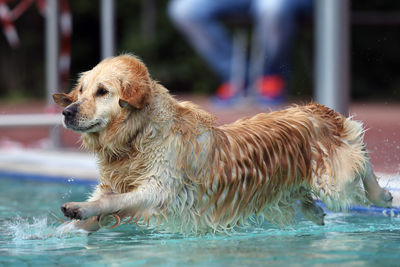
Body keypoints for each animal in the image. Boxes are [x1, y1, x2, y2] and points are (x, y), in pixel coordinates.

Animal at [51, 54, 392, 234]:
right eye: (81, 91)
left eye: (102, 92)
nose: (67, 112)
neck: (137, 139)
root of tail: (314, 108)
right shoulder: (113, 183)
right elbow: (99, 208)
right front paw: (64, 230)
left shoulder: (159, 190)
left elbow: (114, 201)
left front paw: (78, 208)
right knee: (310, 197)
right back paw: (317, 213)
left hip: (333, 178)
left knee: (360, 155)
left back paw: (382, 194)